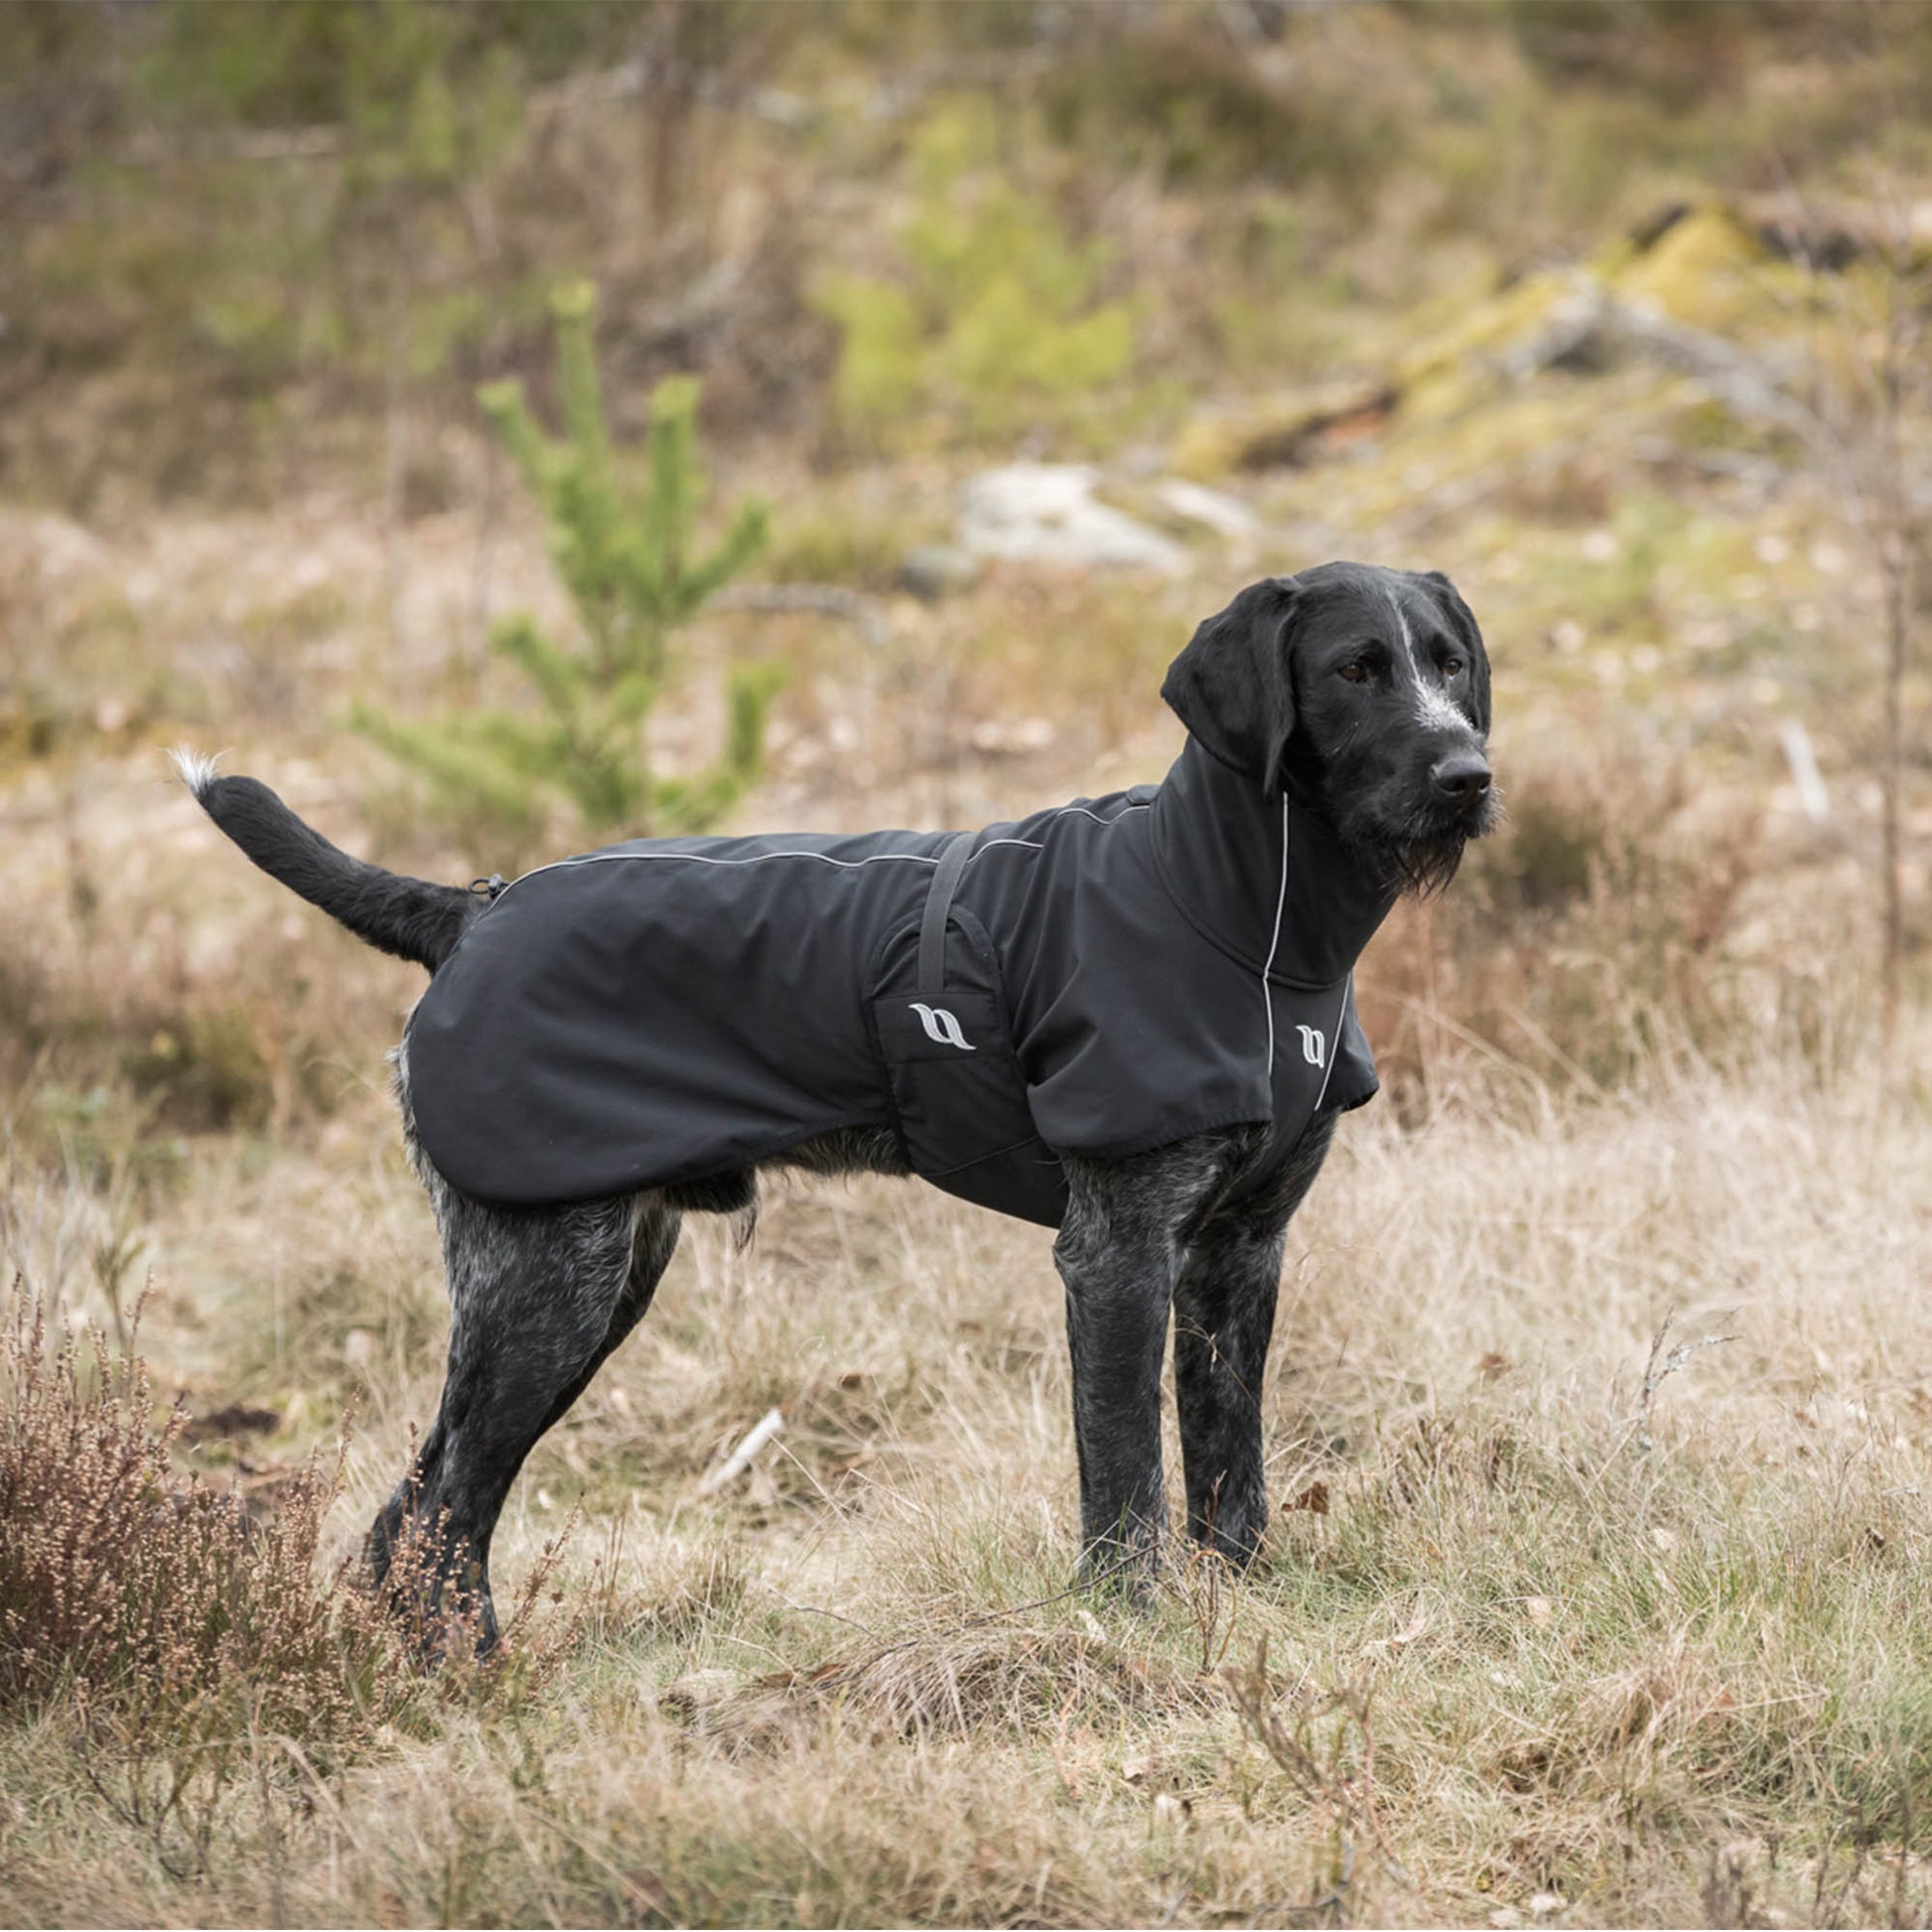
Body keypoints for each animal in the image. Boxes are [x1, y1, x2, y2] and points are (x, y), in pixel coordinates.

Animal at [178, 564, 1491, 1645]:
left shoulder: (1238, 1255)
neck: (1242, 916)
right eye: (1353, 669)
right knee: (447, 1500)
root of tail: (468, 910)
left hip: (591, 1277)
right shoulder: (1117, 1255)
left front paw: (1244, 1607)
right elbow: (1124, 1476)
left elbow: (1229, 1466)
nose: (1468, 775)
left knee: (413, 1510)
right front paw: (1126, 1627)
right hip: (546, 1285)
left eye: (1448, 663)